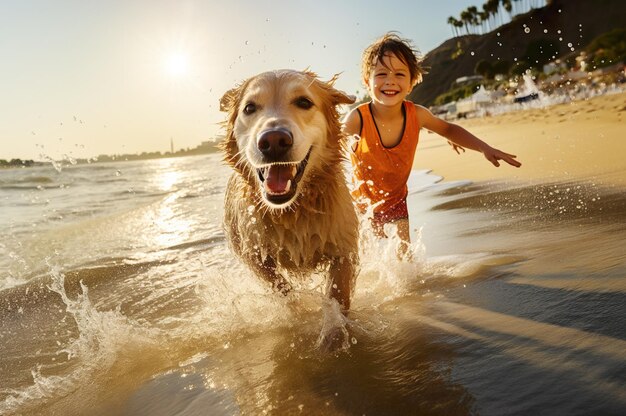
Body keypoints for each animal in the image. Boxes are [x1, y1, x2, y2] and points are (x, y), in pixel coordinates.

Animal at [218, 69, 356, 316]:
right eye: (249, 108)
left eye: (304, 102)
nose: (273, 141)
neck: (292, 210)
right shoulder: (254, 254)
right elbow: (280, 286)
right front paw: (297, 310)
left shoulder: (344, 244)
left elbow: (339, 294)